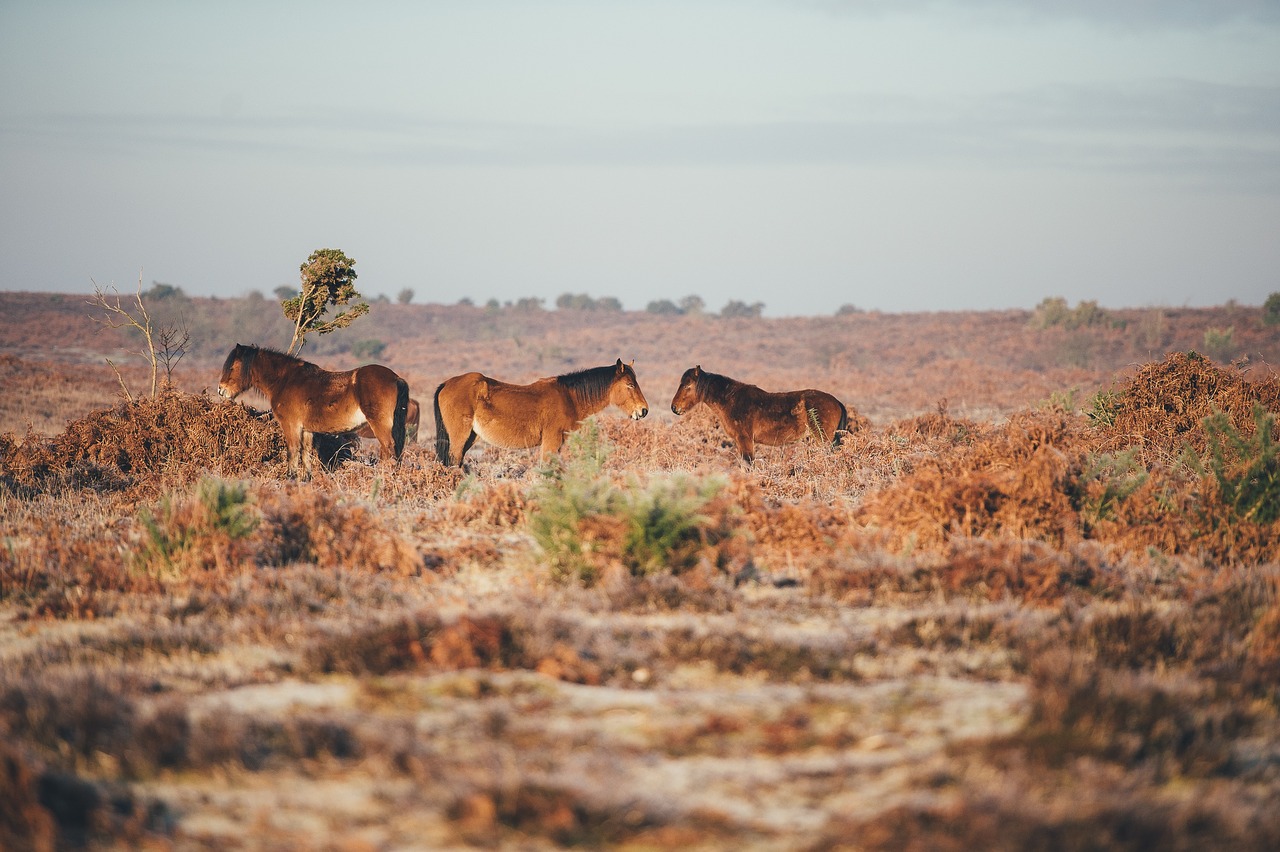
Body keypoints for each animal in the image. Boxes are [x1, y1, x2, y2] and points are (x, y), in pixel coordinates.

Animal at [218, 342, 409, 478]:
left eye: (232, 367)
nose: (221, 390)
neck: (285, 380)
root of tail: (396, 378)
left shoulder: (291, 426)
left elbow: (293, 452)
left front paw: (291, 478)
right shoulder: (307, 430)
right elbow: (306, 454)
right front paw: (306, 479)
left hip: (380, 425)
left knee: (389, 449)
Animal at [435, 355, 650, 468]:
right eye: (630, 385)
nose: (643, 410)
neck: (568, 397)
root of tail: (447, 383)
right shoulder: (551, 441)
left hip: (471, 437)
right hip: (460, 437)